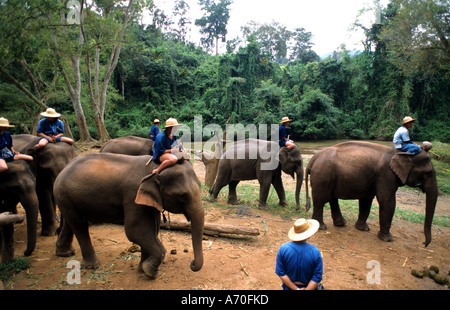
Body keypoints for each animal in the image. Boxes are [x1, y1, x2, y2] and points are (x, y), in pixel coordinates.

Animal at [53, 154, 206, 280]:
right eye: (182, 196)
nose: (192, 264)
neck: (154, 168)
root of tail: (63, 170)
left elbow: (151, 230)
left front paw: (143, 269)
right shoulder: (133, 195)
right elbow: (135, 231)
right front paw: (150, 271)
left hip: (67, 198)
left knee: (70, 222)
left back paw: (65, 253)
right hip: (64, 195)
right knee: (79, 224)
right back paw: (92, 266)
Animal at [304, 141, 438, 247]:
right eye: (428, 173)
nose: (424, 244)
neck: (400, 153)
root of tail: (314, 158)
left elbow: (367, 200)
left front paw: (363, 229)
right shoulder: (386, 175)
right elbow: (387, 201)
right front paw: (388, 239)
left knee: (331, 198)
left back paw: (341, 224)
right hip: (323, 176)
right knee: (320, 200)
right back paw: (321, 227)